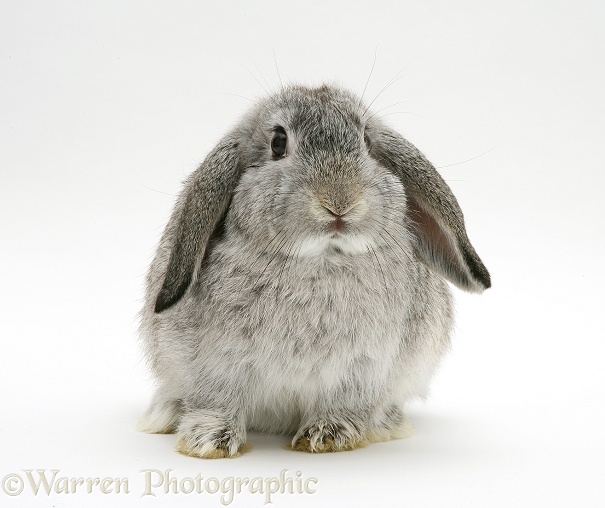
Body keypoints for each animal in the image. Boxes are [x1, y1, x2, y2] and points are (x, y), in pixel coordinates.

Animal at [138, 82, 490, 456]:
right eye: (278, 142)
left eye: (367, 141)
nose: (339, 202)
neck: (321, 260)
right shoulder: (217, 365)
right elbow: (218, 402)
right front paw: (208, 441)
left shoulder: (362, 370)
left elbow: (343, 404)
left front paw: (327, 435)